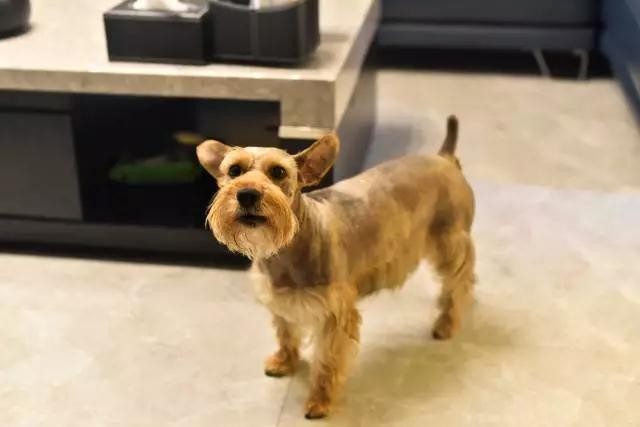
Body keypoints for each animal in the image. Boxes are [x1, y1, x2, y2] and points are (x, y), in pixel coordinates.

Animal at [197, 116, 476, 419]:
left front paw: (320, 400)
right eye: (234, 170)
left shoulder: (335, 315)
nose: (247, 194)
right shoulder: (281, 302)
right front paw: (285, 361)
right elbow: (286, 334)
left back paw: (447, 322)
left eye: (278, 172)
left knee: (460, 282)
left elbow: (327, 362)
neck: (288, 250)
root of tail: (444, 157)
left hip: (450, 242)